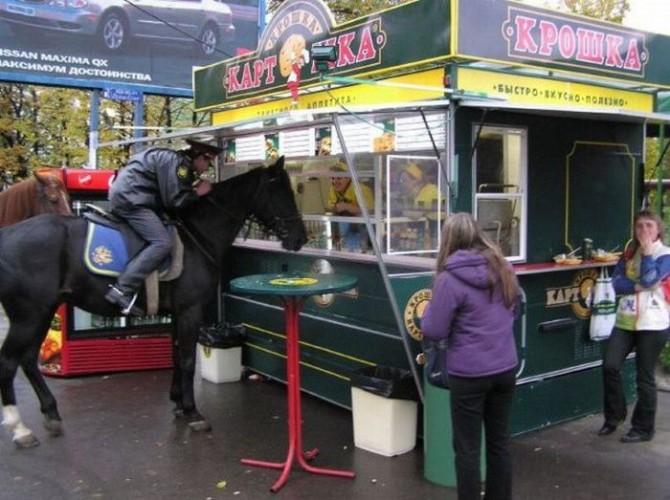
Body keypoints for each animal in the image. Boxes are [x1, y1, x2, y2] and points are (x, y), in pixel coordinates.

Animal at [0, 157, 308, 450]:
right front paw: (193, 412)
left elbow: (176, 355)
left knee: (27, 359)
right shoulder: (190, 311)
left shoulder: (178, 313)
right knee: (9, 360)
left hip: (42, 311)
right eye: (280, 189)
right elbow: (187, 359)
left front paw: (178, 403)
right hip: (29, 316)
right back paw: (20, 429)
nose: (301, 238)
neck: (198, 236)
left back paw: (51, 414)